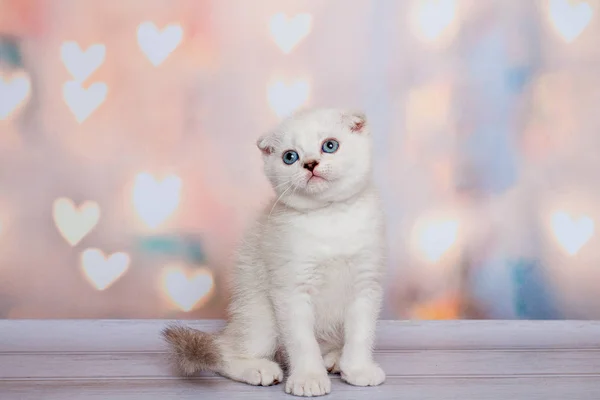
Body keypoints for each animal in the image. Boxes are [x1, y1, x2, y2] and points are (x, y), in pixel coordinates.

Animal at [162, 108, 386, 396]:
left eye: (330, 145)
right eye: (290, 157)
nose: (310, 164)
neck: (329, 217)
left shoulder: (366, 285)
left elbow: (360, 335)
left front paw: (358, 369)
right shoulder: (291, 289)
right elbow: (302, 342)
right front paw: (308, 378)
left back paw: (334, 358)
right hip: (260, 317)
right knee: (226, 353)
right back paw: (259, 369)